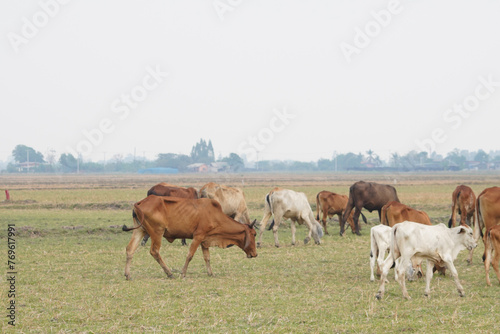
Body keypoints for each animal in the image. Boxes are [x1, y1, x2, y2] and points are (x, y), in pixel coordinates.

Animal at [122, 196, 258, 280]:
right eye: (254, 234)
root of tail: (141, 202)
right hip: (157, 232)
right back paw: (169, 273)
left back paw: (128, 275)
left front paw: (210, 273)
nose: (255, 254)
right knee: (154, 251)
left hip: (140, 230)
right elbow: (190, 255)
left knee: (130, 249)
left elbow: (207, 258)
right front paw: (183, 273)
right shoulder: (198, 236)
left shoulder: (204, 240)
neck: (215, 215)